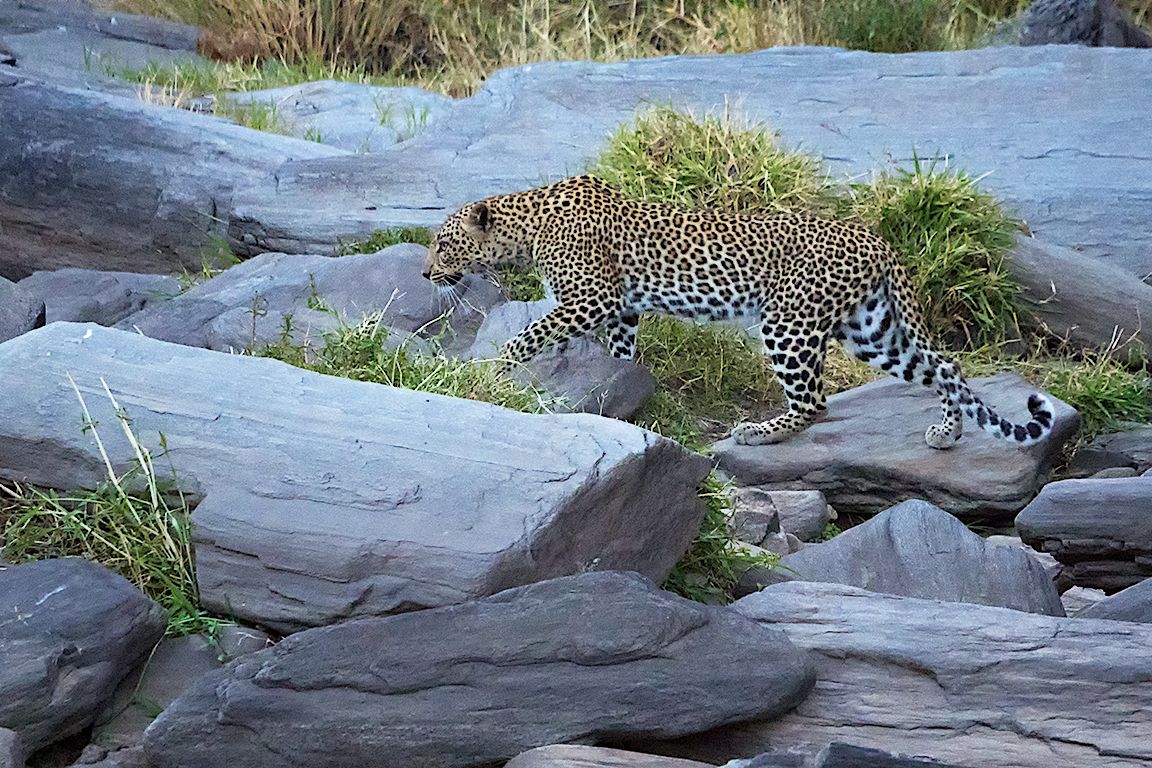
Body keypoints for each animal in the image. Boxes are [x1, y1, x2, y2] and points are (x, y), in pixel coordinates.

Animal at [422, 174, 1055, 449]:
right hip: (871, 329)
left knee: (815, 402)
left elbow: (529, 334)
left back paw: (758, 432)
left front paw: (492, 371)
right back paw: (948, 430)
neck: (527, 226)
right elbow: (620, 354)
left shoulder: (593, 299)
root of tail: (877, 240)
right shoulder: (620, 310)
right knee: (946, 367)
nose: (427, 274)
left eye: (444, 245)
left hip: (789, 321)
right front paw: (622, 391)